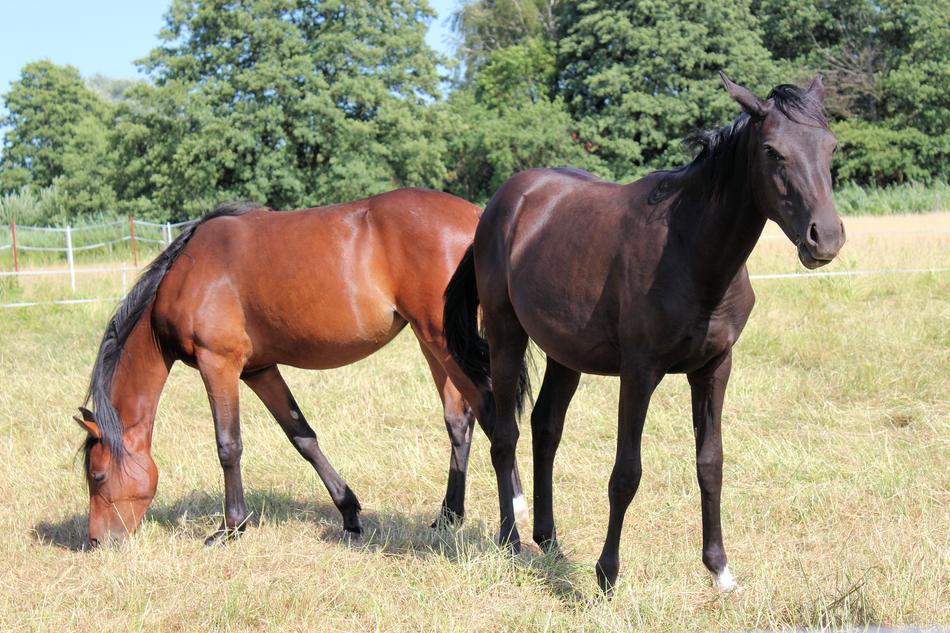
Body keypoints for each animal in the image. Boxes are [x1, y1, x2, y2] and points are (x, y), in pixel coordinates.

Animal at [74, 188, 528, 547]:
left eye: (98, 476)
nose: (96, 541)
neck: (187, 272)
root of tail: (478, 217)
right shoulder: (259, 370)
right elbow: (302, 437)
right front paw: (349, 513)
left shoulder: (218, 363)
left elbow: (228, 445)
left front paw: (231, 527)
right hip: (434, 343)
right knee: (459, 421)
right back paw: (449, 515)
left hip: (443, 341)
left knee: (493, 416)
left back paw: (513, 522)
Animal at [443, 73, 846, 594]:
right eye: (773, 151)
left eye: (831, 147)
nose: (826, 238)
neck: (691, 252)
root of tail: (498, 206)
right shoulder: (639, 373)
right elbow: (626, 474)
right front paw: (606, 575)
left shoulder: (714, 369)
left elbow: (710, 463)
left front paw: (720, 570)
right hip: (505, 332)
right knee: (505, 434)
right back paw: (510, 540)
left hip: (564, 354)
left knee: (545, 429)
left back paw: (549, 541)